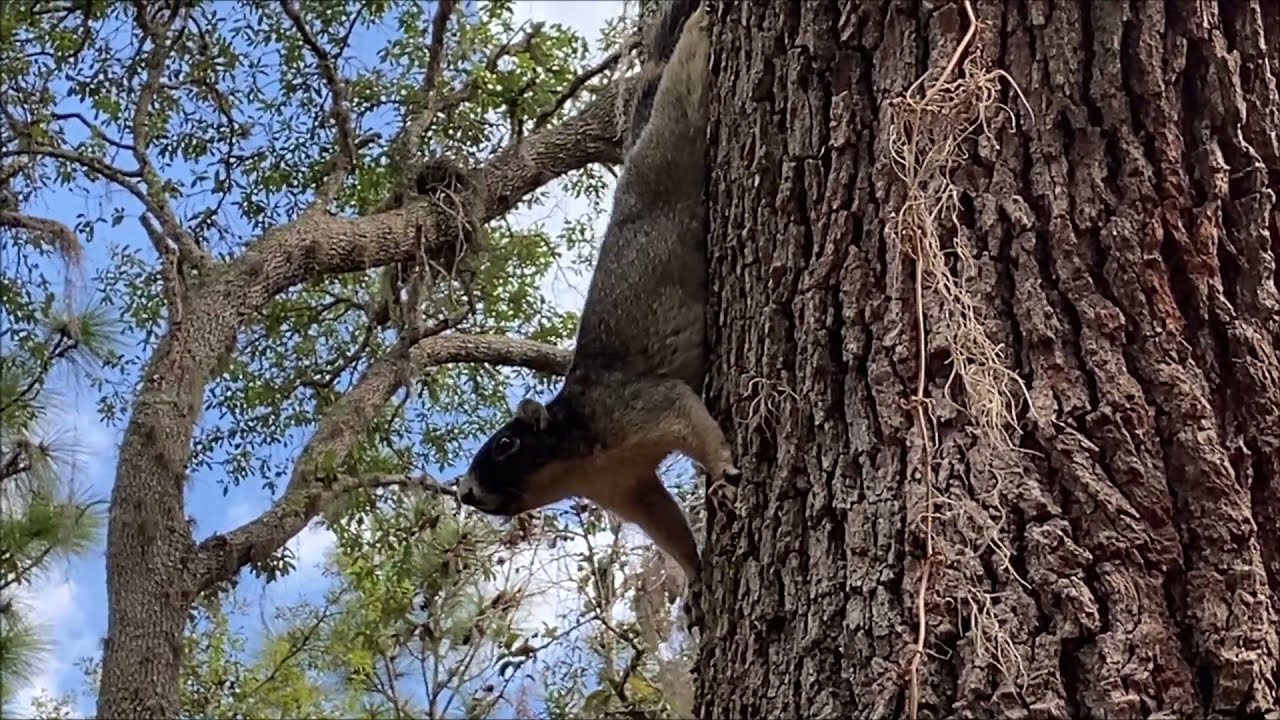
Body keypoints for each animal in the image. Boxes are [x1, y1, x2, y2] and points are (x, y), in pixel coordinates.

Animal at [453, 0, 737, 627]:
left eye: (506, 445)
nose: (464, 492)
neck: (580, 455)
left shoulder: (638, 406)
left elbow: (690, 418)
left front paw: (725, 467)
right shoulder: (625, 488)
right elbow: (666, 524)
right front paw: (696, 578)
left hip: (670, 141)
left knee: (682, 88)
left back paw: (700, 29)